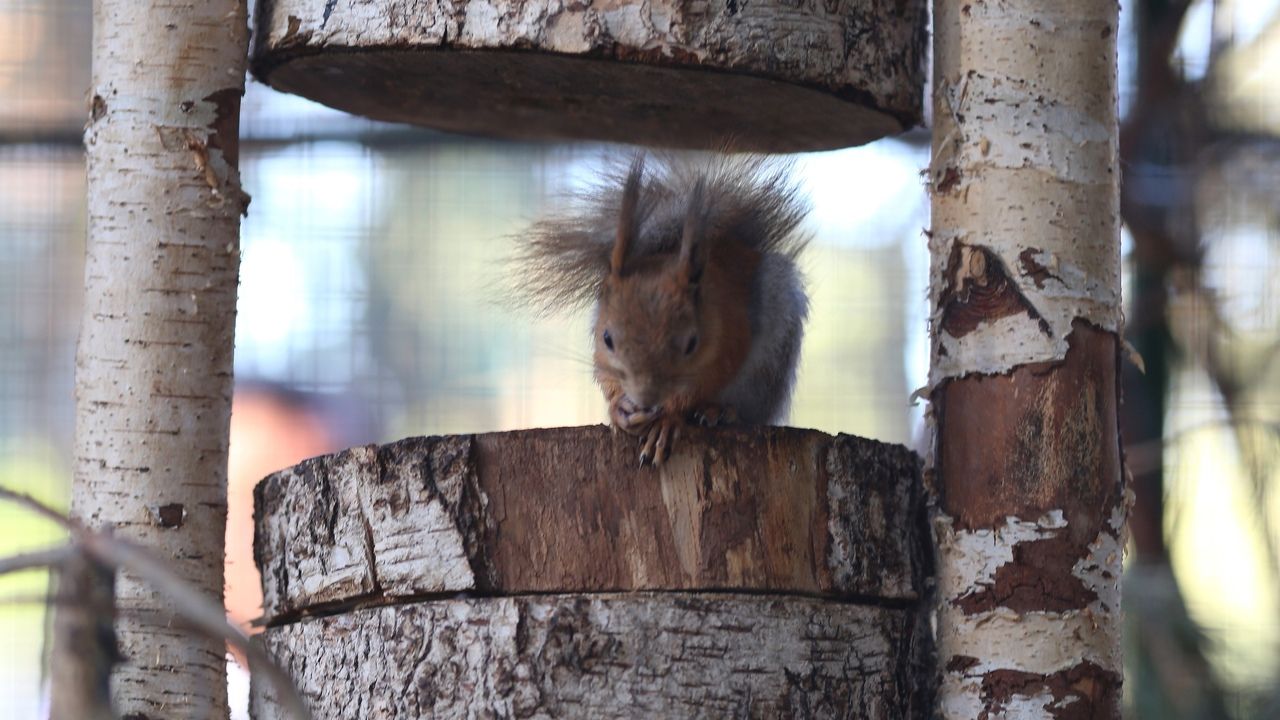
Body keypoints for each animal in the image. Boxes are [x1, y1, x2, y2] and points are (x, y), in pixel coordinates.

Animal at [515, 152, 810, 466]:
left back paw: (719, 411)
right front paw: (619, 409)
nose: (646, 400)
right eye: (607, 339)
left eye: (691, 343)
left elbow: (704, 382)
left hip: (766, 371)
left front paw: (668, 419)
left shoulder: (728, 346)